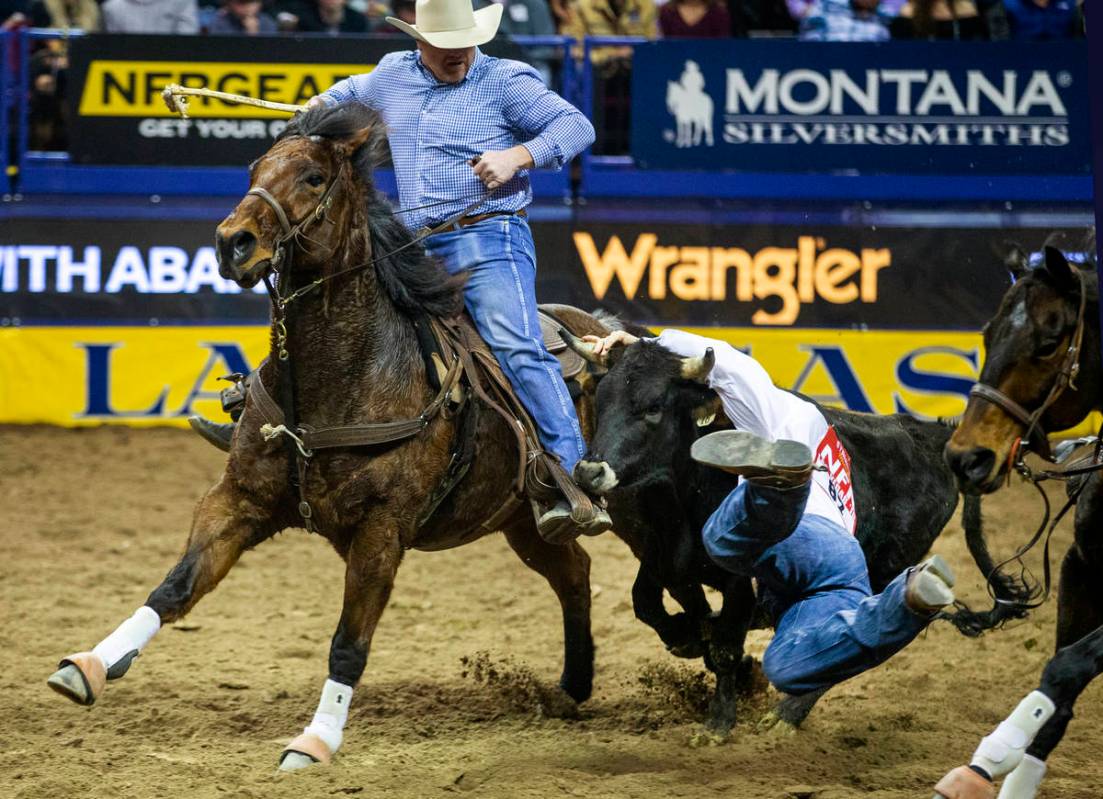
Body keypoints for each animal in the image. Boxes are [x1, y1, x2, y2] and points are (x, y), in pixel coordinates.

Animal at [43, 103, 608, 772]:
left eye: (313, 178)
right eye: (254, 169)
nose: (232, 243)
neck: (342, 380)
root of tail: (602, 329)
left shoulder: (382, 530)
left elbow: (347, 643)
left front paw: (313, 742)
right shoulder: (239, 500)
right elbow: (176, 586)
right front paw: (88, 666)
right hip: (521, 522)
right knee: (573, 571)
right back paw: (572, 688)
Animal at [939, 243, 1103, 799]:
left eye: (1051, 341)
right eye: (987, 334)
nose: (966, 458)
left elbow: (1068, 667)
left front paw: (992, 753)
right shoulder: (1081, 566)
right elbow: (1060, 691)